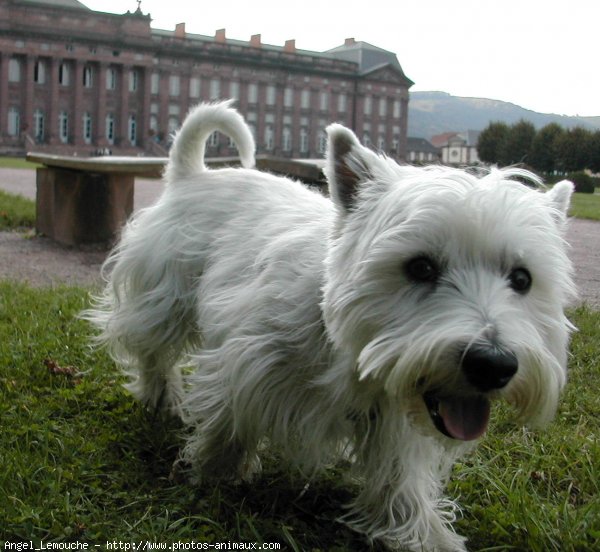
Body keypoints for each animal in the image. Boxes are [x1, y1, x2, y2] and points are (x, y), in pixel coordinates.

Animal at [84, 101, 576, 548]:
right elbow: (228, 423)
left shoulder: (395, 418)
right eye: (419, 267)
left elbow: (400, 479)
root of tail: (193, 174)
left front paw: (423, 534)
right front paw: (213, 475)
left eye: (522, 279)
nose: (493, 365)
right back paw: (161, 397)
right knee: (152, 352)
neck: (349, 352)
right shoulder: (245, 362)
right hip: (162, 299)